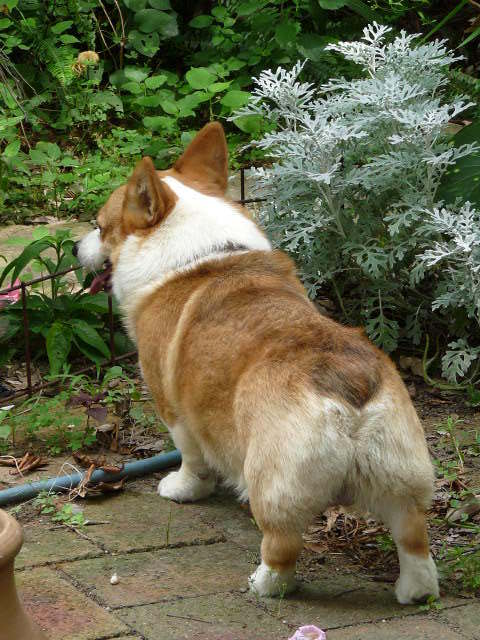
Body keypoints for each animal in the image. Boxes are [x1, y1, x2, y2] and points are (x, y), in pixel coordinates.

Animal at [76, 122, 439, 604]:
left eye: (100, 227)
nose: (74, 248)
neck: (197, 252)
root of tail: (350, 388)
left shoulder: (175, 410)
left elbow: (192, 458)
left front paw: (183, 488)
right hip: (403, 479)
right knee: (413, 538)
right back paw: (415, 591)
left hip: (275, 484)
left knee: (282, 545)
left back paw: (264, 584)